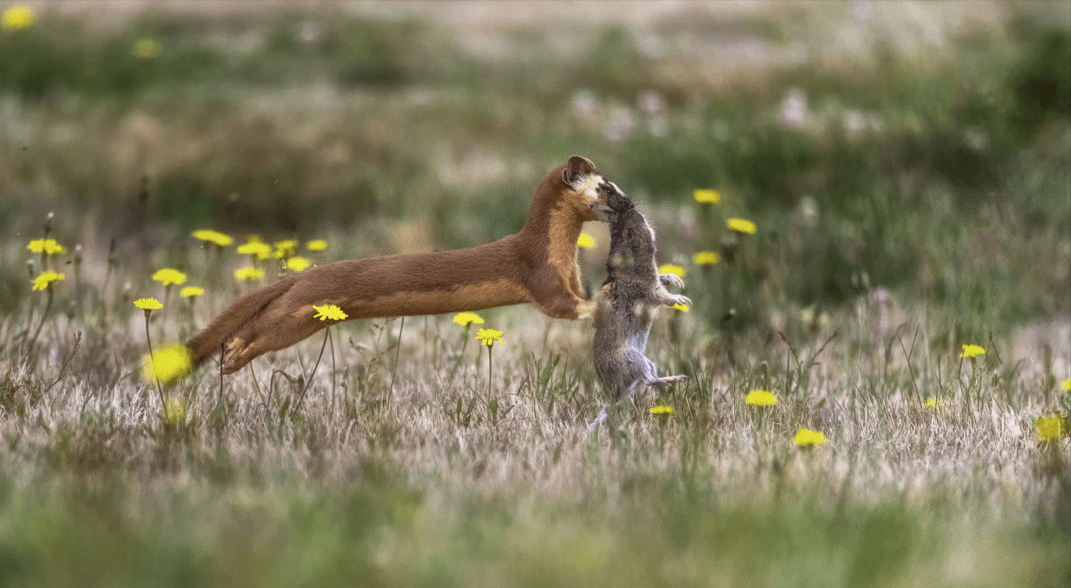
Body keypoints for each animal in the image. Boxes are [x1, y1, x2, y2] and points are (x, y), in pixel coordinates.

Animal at [183, 156, 621, 372]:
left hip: (308, 318)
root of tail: (307, 275)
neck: (562, 252)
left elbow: (579, 295)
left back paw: (232, 361)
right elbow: (563, 306)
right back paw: (233, 352)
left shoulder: (568, 274)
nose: (625, 200)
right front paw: (605, 304)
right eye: (605, 188)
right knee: (259, 325)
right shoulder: (540, 274)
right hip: (300, 307)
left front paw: (608, 290)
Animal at [591, 194, 689, 428]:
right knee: (649, 380)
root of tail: (615, 396)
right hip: (634, 358)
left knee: (647, 381)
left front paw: (675, 278)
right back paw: (677, 378)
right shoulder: (650, 290)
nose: (631, 210)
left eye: (619, 232)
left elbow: (663, 278)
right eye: (628, 232)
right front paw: (681, 299)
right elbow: (664, 297)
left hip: (647, 361)